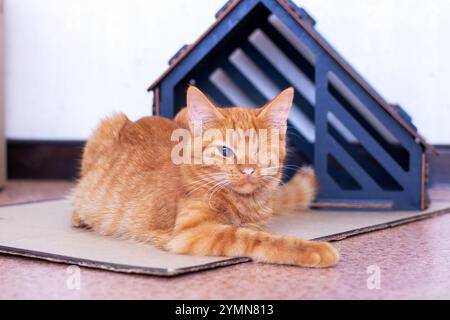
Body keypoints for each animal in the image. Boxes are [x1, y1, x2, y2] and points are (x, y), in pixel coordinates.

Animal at [71, 86, 338, 266]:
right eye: (225, 151)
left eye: (259, 151)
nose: (247, 170)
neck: (245, 203)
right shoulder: (192, 232)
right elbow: (251, 238)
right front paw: (310, 249)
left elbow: (256, 231)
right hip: (106, 127)